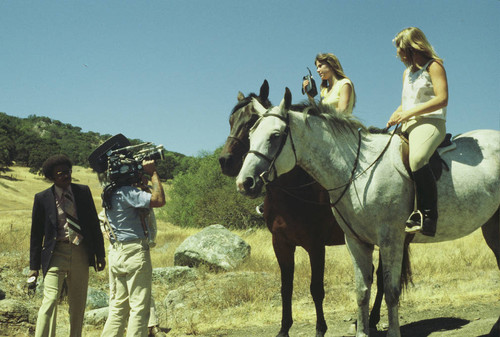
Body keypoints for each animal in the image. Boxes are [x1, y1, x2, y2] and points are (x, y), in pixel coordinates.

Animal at [221, 80, 404, 334]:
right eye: (231, 120)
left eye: (250, 121)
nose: (225, 161)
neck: (291, 193)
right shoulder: (281, 243)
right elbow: (285, 288)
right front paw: (283, 329)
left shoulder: (316, 245)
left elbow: (316, 288)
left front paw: (320, 329)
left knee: (382, 279)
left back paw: (374, 319)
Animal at [235, 88, 500, 336]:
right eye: (251, 134)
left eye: (275, 136)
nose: (244, 182)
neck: (357, 171)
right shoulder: (355, 241)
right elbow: (362, 290)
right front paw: (363, 330)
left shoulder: (390, 240)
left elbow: (390, 291)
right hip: (491, 227)